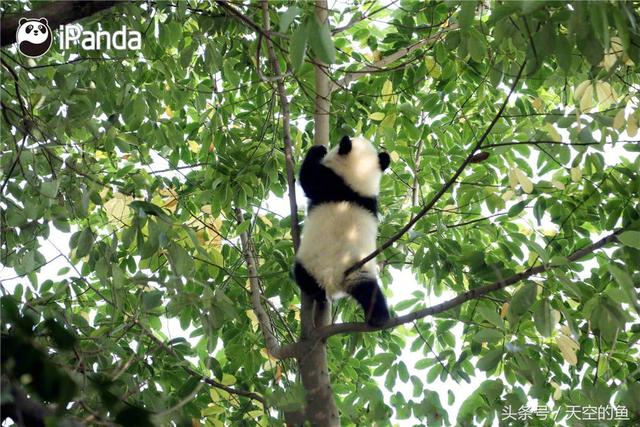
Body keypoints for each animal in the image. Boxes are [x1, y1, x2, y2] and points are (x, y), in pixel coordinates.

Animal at [294, 135, 390, 326]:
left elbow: (307, 178)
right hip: (359, 272)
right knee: (371, 292)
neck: (354, 184)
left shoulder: (327, 183)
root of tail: (333, 279)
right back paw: (380, 317)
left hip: (310, 264)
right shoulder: (371, 202)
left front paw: (318, 150)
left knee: (302, 277)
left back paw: (318, 294)